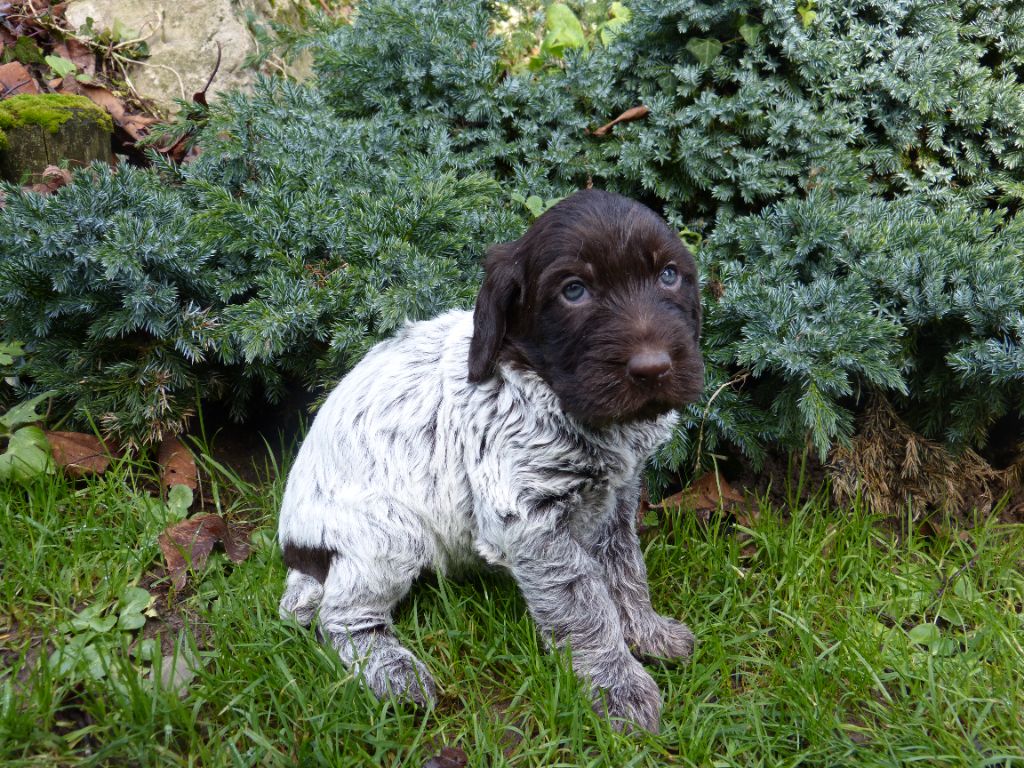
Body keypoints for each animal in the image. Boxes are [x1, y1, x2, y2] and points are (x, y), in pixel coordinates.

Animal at [278, 188, 704, 733]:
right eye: (574, 291)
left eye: (669, 275)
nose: (653, 368)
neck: (553, 393)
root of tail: (297, 549)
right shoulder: (529, 523)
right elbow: (584, 604)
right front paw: (618, 685)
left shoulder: (615, 500)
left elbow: (625, 571)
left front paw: (647, 632)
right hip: (387, 534)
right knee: (341, 617)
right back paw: (393, 672)